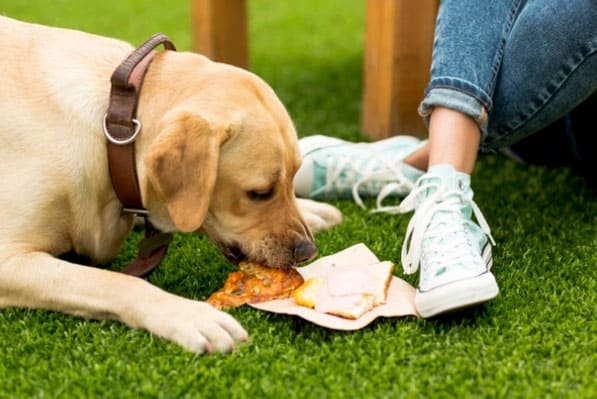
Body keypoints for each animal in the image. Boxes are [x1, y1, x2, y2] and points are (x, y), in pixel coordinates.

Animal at [0, 16, 342, 354]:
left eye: (293, 177)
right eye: (258, 193)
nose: (308, 251)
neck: (114, 129)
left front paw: (310, 210)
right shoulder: (8, 260)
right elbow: (115, 281)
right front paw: (190, 314)